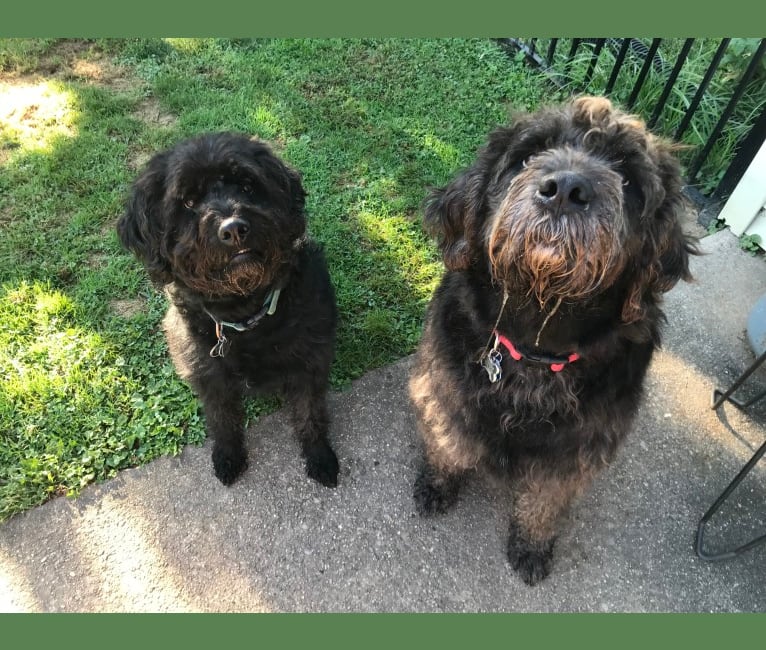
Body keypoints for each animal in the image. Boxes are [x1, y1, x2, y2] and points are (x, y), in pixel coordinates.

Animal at [118, 132, 340, 486]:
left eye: (247, 186)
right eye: (188, 202)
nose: (234, 229)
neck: (245, 316)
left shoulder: (310, 361)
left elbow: (310, 412)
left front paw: (319, 455)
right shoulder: (208, 373)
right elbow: (221, 417)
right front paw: (227, 454)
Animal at [412, 95, 700, 584]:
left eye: (626, 173)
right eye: (530, 153)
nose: (565, 188)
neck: (536, 346)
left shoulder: (575, 453)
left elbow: (544, 502)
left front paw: (532, 542)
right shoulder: (443, 392)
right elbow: (447, 443)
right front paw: (437, 482)